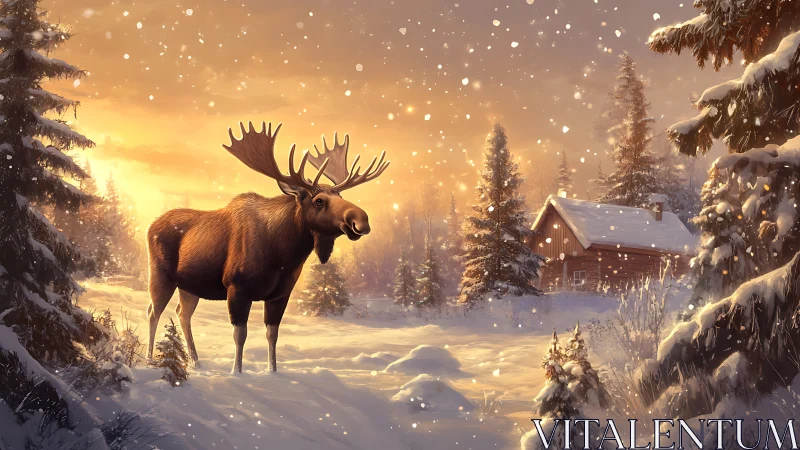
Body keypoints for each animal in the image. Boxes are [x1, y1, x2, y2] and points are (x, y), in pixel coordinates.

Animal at [145, 121, 389, 373]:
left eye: (340, 194)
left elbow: (272, 335)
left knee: (182, 314)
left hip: (190, 285)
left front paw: (273, 371)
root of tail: (152, 225)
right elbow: (240, 335)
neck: (282, 256)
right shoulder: (237, 288)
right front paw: (237, 371)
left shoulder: (280, 294)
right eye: (319, 200)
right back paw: (150, 359)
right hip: (160, 275)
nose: (361, 219)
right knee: (153, 312)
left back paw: (196, 363)